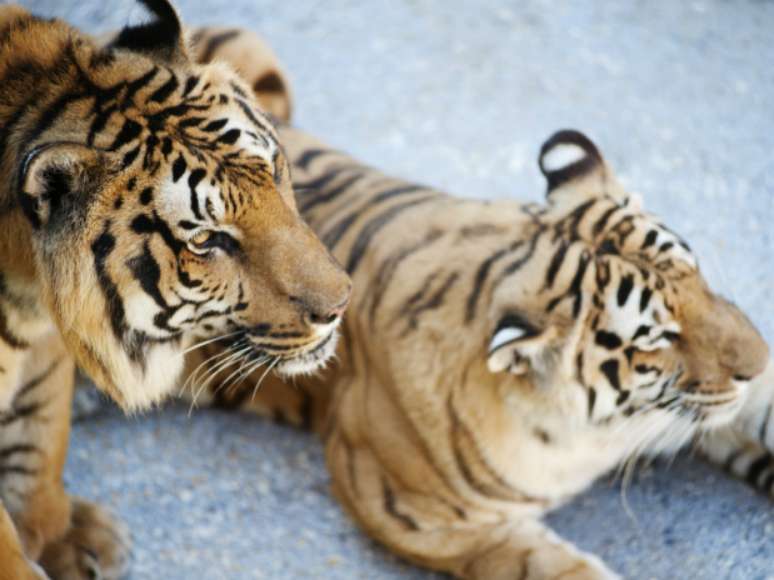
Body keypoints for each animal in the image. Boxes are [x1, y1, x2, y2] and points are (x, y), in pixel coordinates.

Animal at [0, 5, 352, 580]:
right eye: (206, 241)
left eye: (273, 169)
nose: (341, 304)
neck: (26, 285)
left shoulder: (44, 348)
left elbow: (39, 433)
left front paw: (61, 533)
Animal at [185, 28, 774, 580]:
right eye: (659, 337)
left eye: (696, 272)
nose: (760, 361)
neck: (591, 436)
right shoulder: (411, 509)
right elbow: (550, 565)